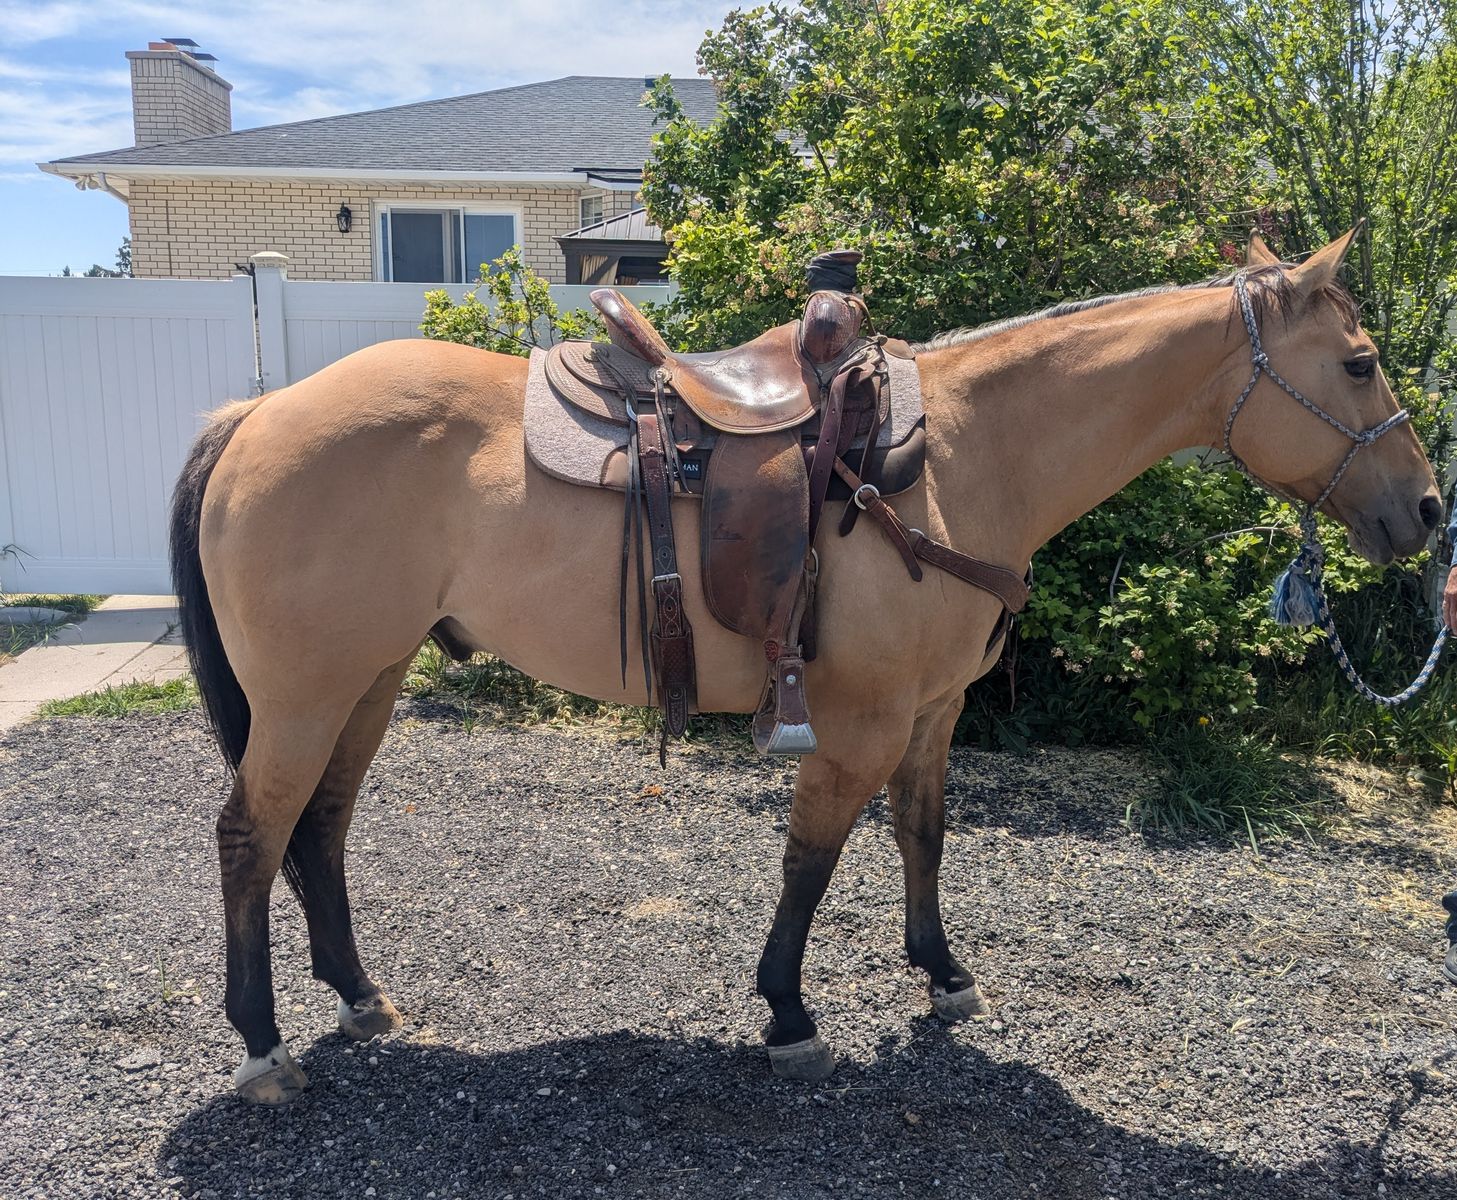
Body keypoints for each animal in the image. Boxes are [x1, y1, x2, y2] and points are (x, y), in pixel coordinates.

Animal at [170, 229, 1440, 1103]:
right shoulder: (860, 718)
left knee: (321, 830)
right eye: (1360, 362)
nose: (1426, 512)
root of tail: (256, 413)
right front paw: (787, 1014)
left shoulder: (931, 712)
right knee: (250, 836)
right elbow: (811, 860)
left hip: (368, 680)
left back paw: (356, 998)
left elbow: (921, 838)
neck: (960, 460)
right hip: (305, 694)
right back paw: (262, 1045)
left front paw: (941, 976)